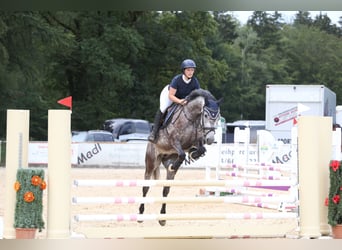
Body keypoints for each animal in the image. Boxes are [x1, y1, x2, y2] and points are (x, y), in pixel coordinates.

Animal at [138, 89, 222, 226]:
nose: (210, 139)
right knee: (145, 187)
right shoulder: (174, 141)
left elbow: (201, 149)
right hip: (151, 162)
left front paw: (194, 154)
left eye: (218, 117)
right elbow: (182, 154)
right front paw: (187, 157)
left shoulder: (196, 141)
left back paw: (162, 218)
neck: (191, 118)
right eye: (205, 115)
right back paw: (140, 215)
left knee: (166, 190)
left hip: (169, 160)